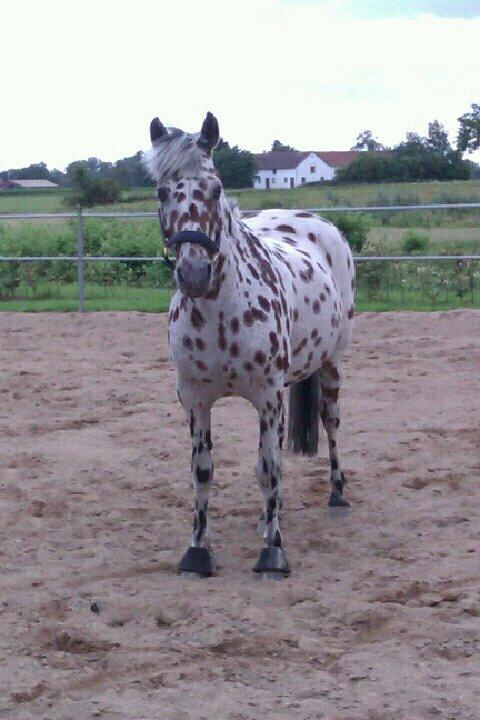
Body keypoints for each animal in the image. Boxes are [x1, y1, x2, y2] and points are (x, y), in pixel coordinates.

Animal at [144, 112, 354, 576]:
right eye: (163, 191)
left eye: (216, 188)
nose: (194, 274)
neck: (221, 313)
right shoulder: (195, 399)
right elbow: (203, 470)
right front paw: (198, 549)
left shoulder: (268, 396)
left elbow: (269, 467)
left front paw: (273, 551)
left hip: (330, 363)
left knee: (330, 422)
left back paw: (336, 493)